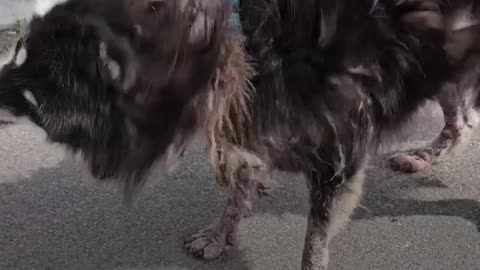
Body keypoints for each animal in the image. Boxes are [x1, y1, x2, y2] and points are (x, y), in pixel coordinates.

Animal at [1, 0, 478, 270]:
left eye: (35, 99)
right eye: (17, 49)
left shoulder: (336, 155)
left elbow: (313, 244)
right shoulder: (244, 123)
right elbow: (239, 185)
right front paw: (220, 234)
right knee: (458, 121)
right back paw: (424, 155)